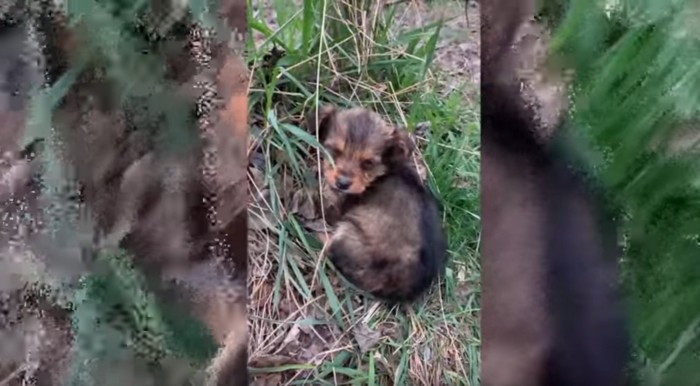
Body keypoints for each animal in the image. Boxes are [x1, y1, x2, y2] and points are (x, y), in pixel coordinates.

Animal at [304, 105, 446, 302]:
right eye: (335, 151)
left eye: (368, 163)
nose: (342, 183)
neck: (380, 173)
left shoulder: (334, 207)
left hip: (347, 233)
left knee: (331, 248)